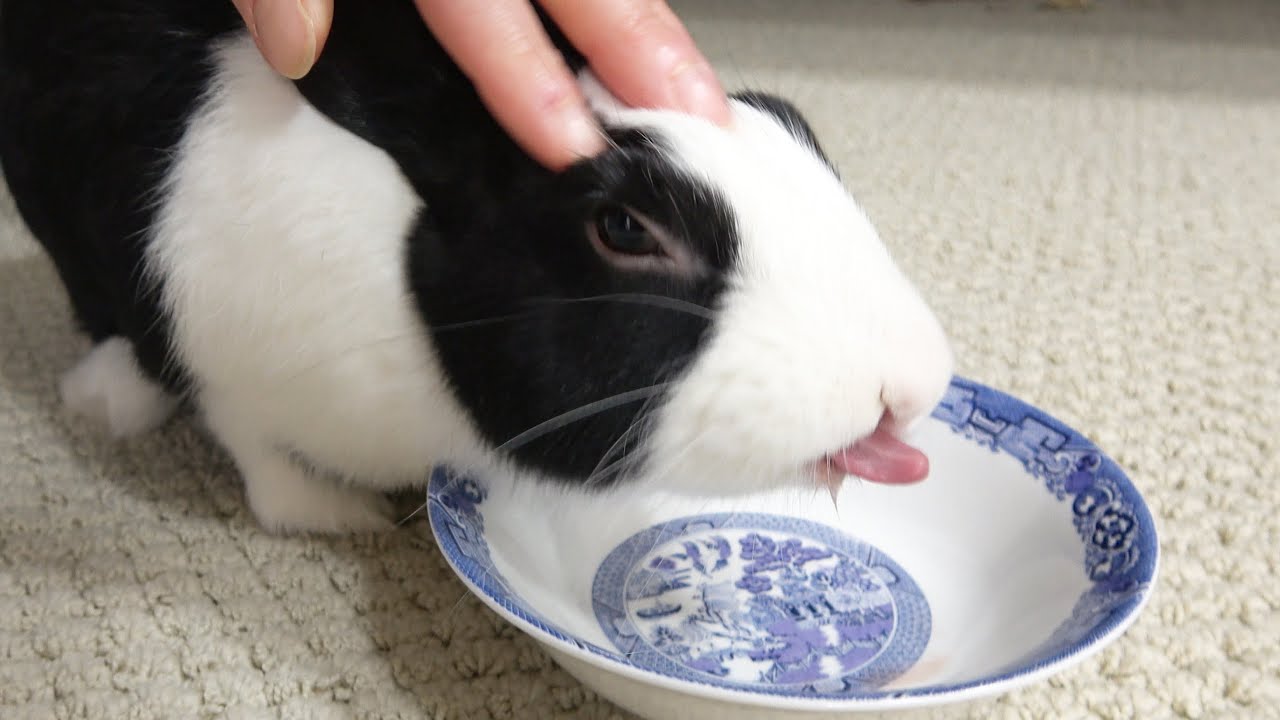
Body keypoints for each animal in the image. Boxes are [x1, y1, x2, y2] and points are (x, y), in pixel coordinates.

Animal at [0, 0, 954, 534]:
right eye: (623, 228)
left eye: (790, 120)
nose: (909, 387)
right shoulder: (232, 374)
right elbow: (269, 472)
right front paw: (344, 519)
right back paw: (108, 398)